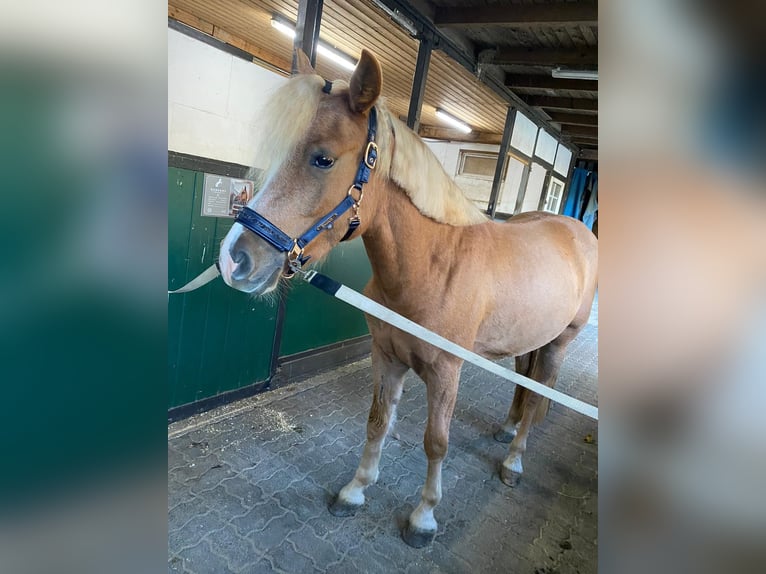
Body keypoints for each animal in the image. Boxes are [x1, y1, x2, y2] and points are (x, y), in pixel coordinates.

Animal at [220, 50, 600, 548]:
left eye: (323, 159)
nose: (234, 260)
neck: (433, 267)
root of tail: (576, 230)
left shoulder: (446, 372)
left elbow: (435, 442)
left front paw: (424, 517)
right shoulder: (387, 356)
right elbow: (378, 421)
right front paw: (355, 490)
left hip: (559, 342)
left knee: (539, 394)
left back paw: (514, 460)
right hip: (529, 338)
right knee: (524, 380)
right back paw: (507, 428)